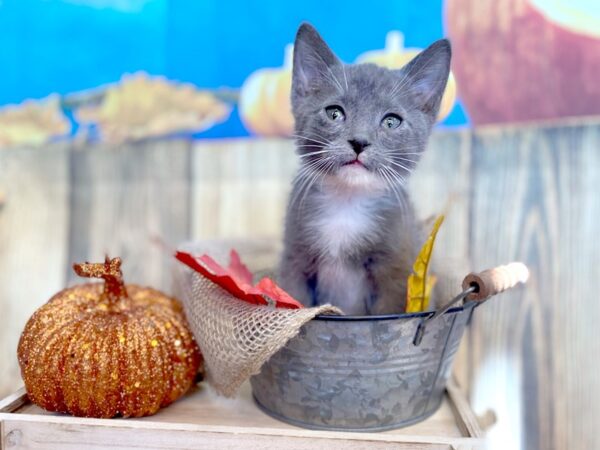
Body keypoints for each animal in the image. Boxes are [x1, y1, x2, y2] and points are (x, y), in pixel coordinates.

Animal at [278, 22, 452, 314]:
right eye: (334, 113)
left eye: (391, 121)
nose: (359, 141)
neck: (347, 203)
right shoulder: (295, 259)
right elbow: (294, 299)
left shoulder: (397, 271)